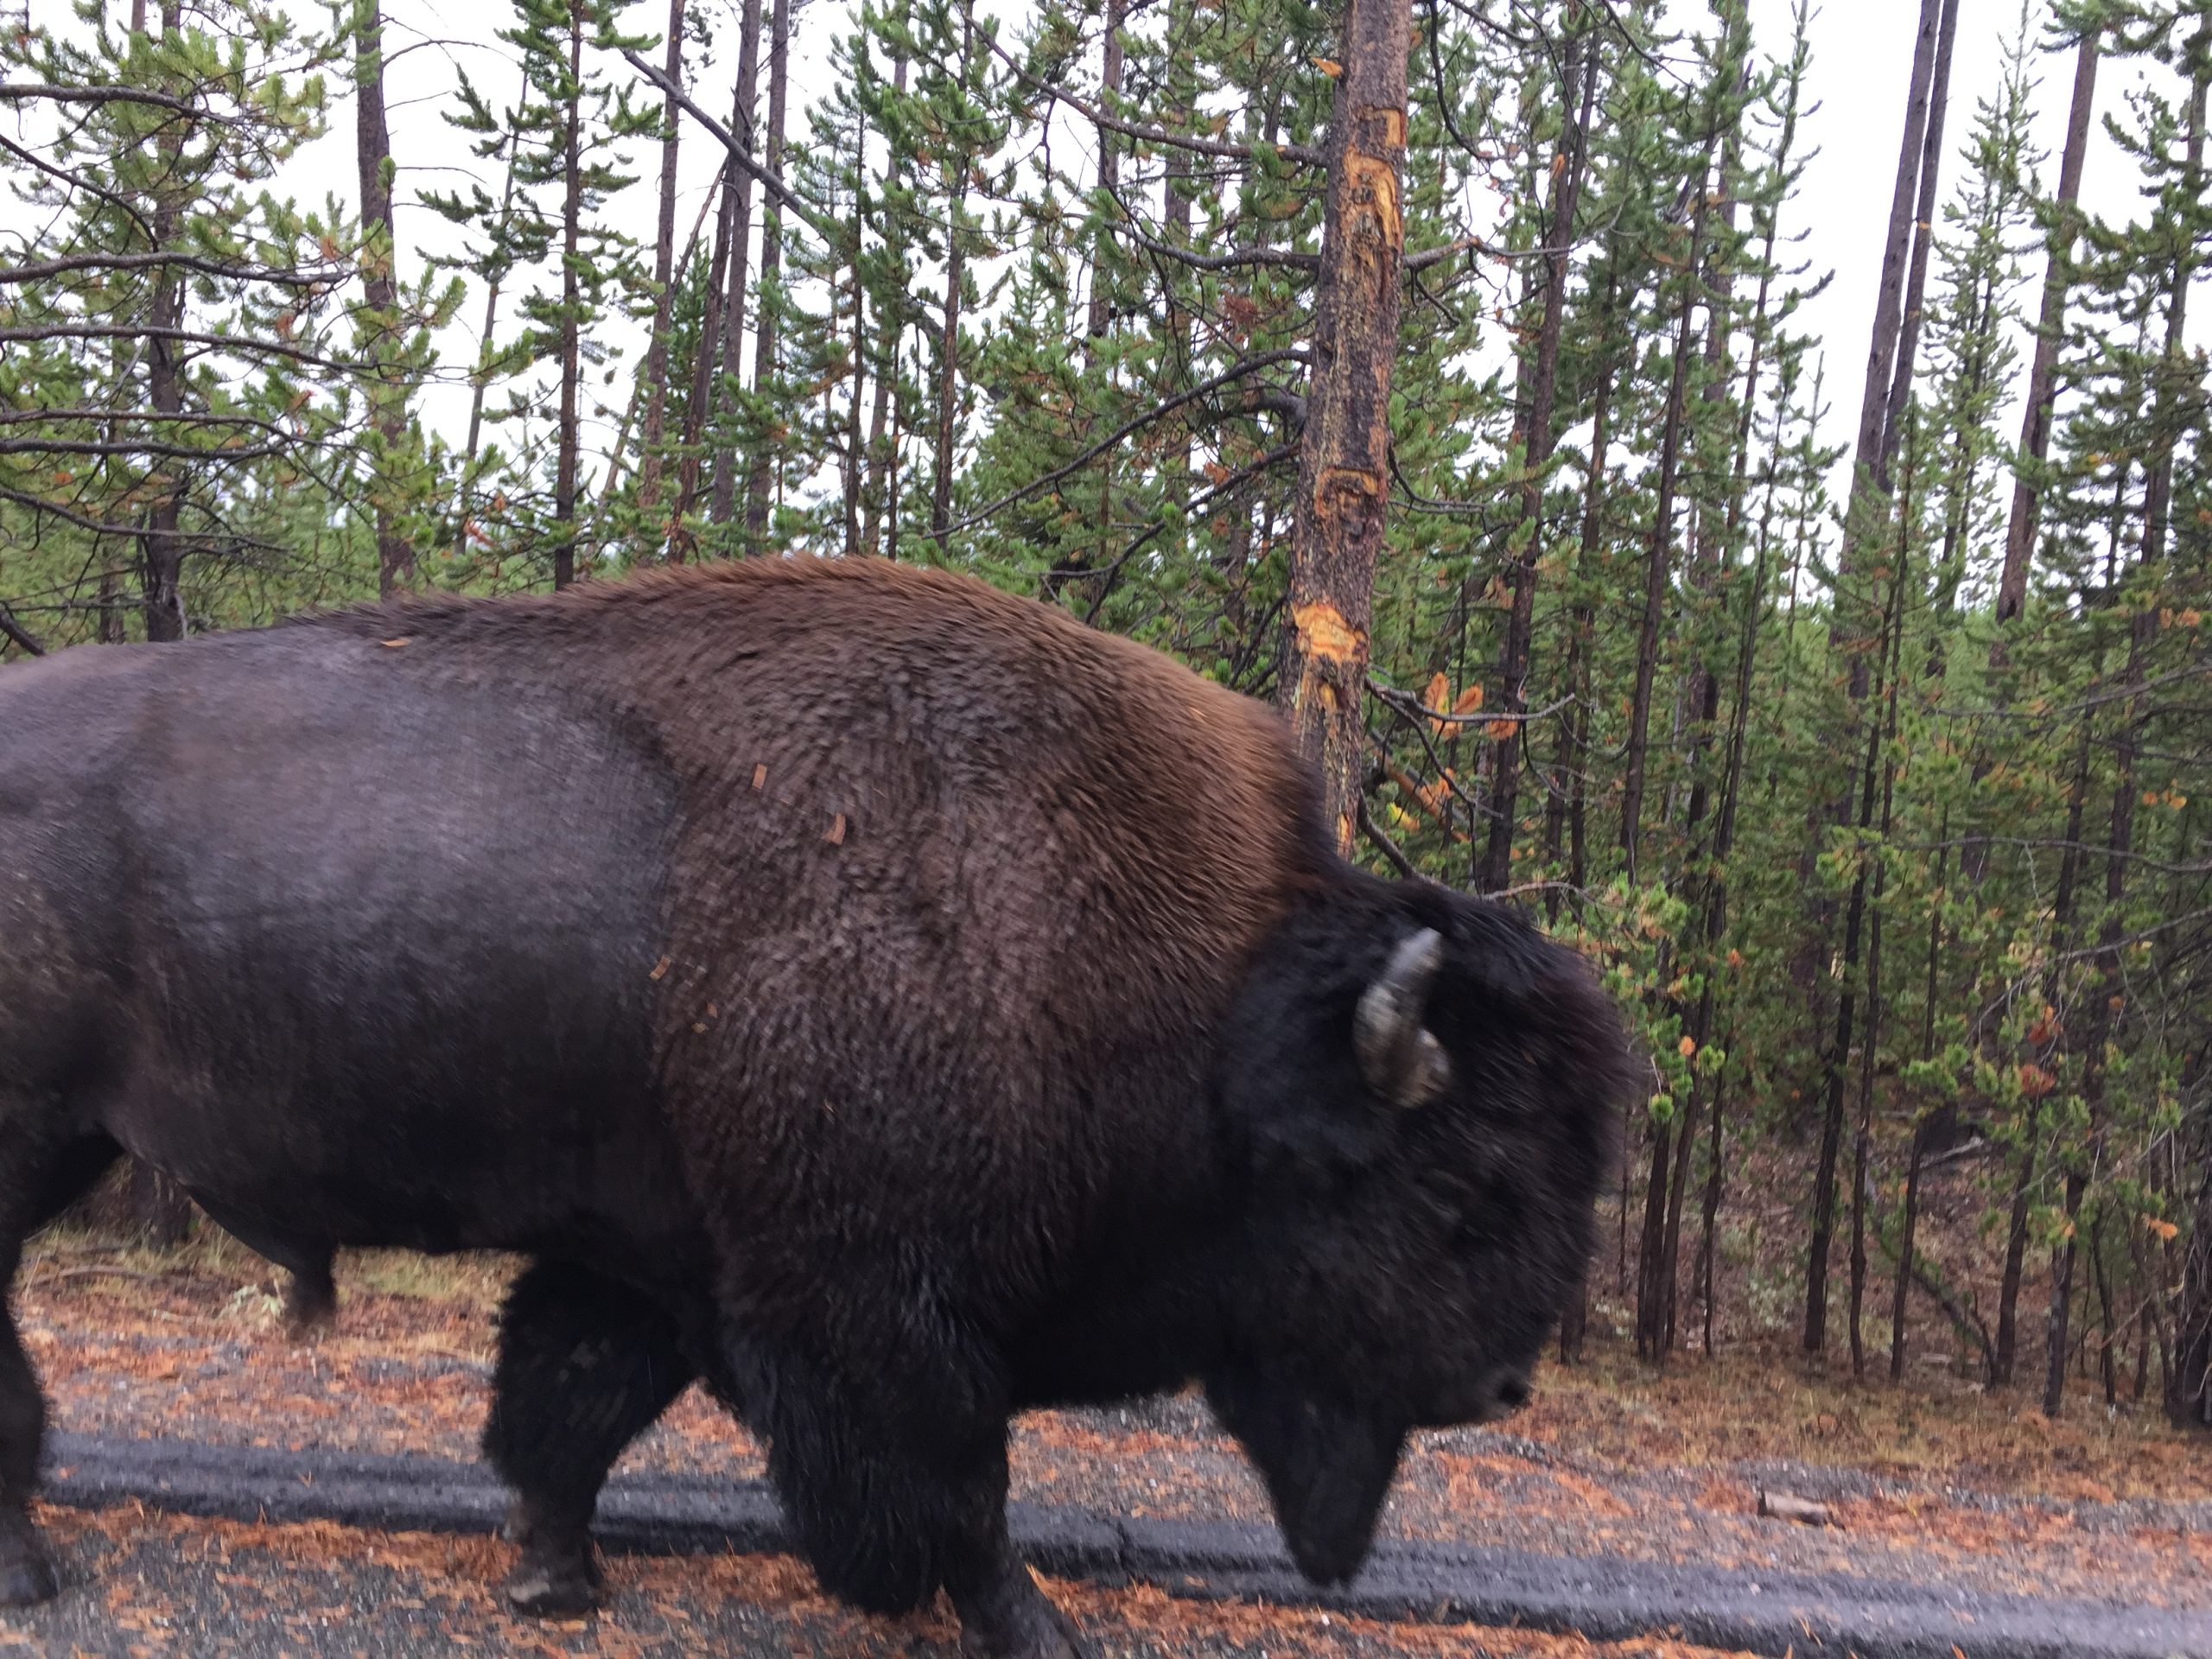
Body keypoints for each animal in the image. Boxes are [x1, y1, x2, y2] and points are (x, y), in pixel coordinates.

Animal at [0, 560, 1625, 1657]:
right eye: (1457, 1187)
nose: (1504, 1386)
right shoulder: (866, 1309)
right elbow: (956, 1496)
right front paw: (1039, 1627)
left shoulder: (660, 1248)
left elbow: (567, 1404)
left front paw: (557, 1579)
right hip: (30, 1134)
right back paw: (30, 1568)